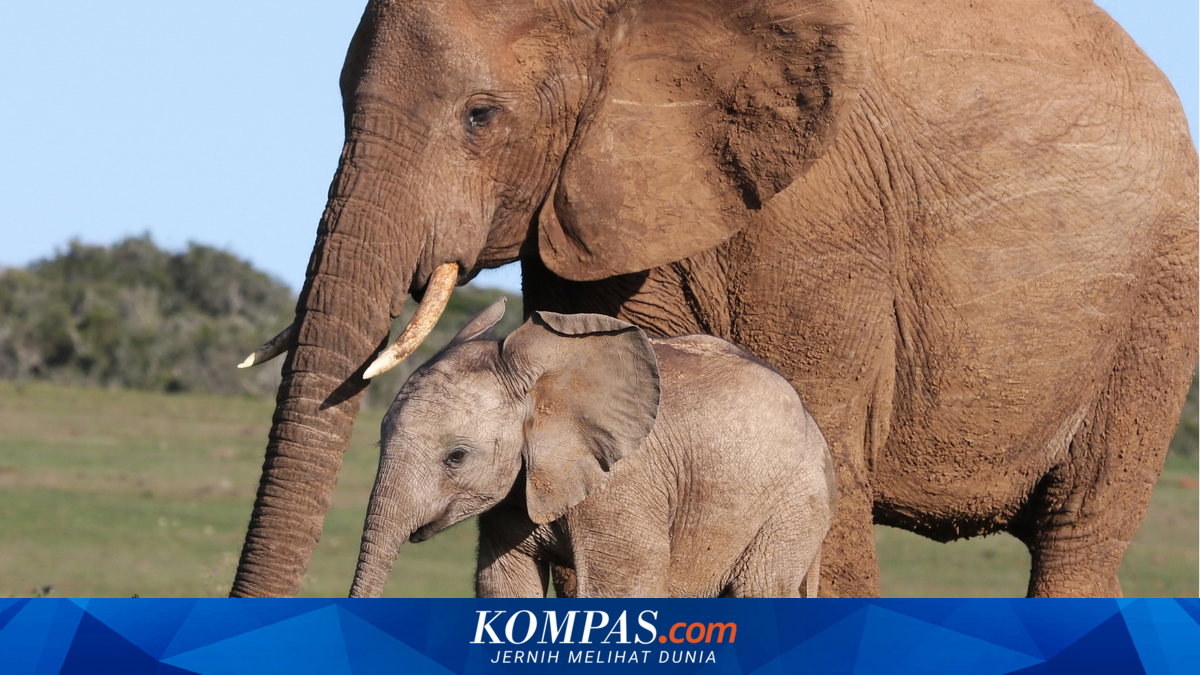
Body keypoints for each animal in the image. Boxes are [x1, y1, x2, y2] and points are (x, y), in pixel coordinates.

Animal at [348, 300, 835, 598]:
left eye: (456, 457)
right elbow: (504, 585)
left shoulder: (623, 488)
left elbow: (620, 588)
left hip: (792, 508)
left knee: (760, 589)